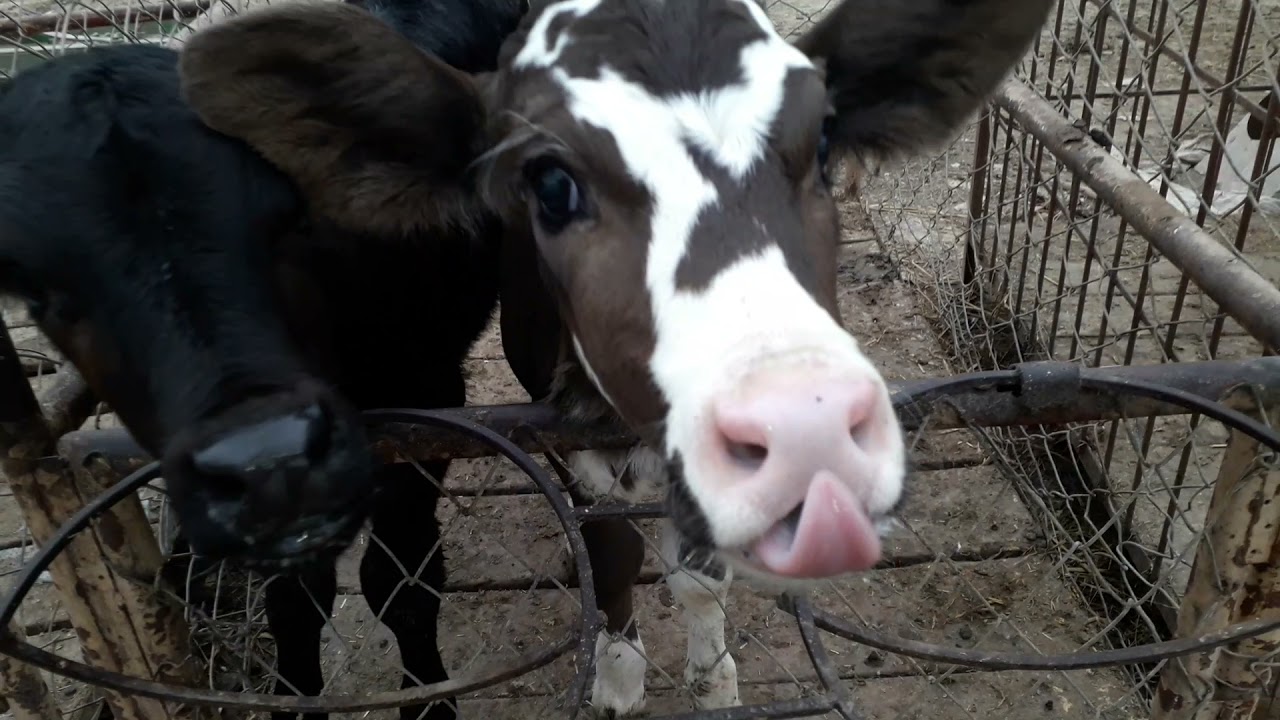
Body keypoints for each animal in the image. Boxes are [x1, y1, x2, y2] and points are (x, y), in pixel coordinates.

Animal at [174, 0, 1052, 714]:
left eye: (826, 140)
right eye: (550, 183)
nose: (807, 426)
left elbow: (699, 572)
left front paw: (713, 673)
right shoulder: (562, 427)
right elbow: (612, 553)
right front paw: (620, 677)